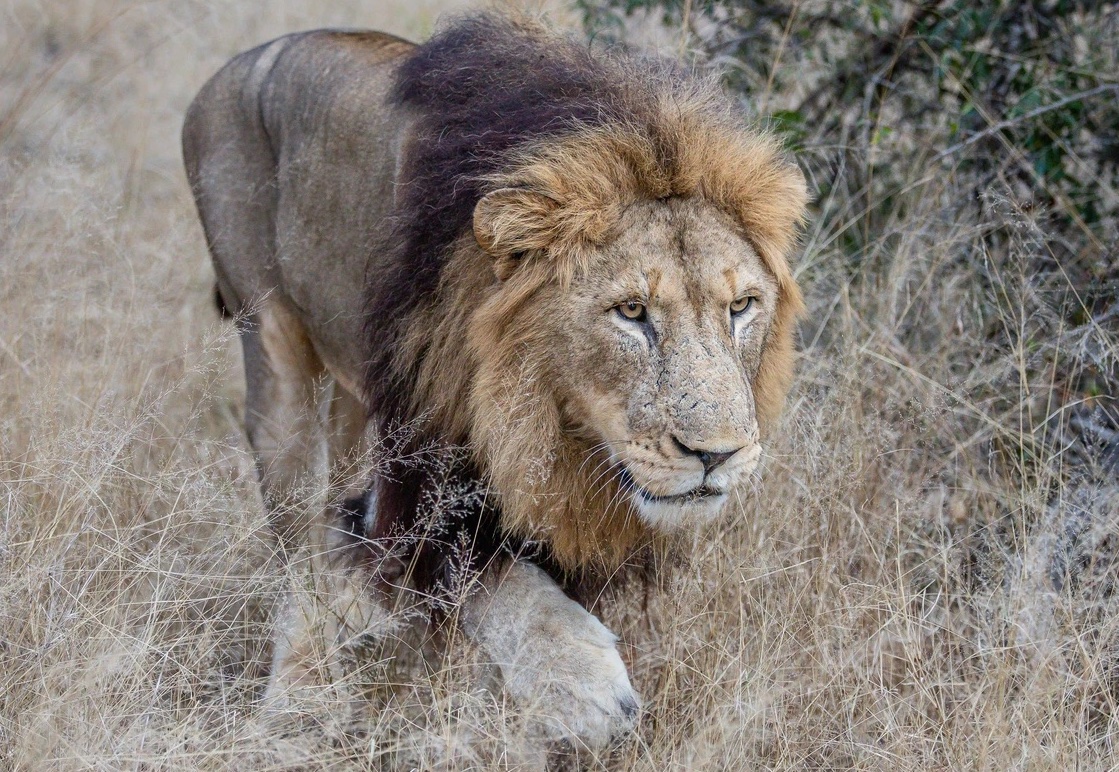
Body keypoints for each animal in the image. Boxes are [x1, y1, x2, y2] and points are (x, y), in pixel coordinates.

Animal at [182, 13, 807, 748]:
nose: (716, 455)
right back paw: (301, 698)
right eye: (631, 312)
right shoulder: (421, 457)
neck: (545, 418)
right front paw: (583, 687)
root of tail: (229, 70)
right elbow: (490, 575)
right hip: (273, 348)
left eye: (742, 307)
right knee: (295, 533)